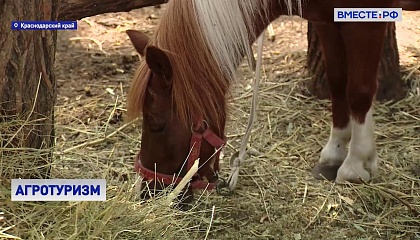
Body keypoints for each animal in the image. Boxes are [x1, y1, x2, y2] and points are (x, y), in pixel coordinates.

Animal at [125, 0, 400, 203]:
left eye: (155, 123)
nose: (146, 192)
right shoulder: (328, 22)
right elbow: (338, 82)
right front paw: (333, 154)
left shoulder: (364, 23)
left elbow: (359, 90)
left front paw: (355, 164)